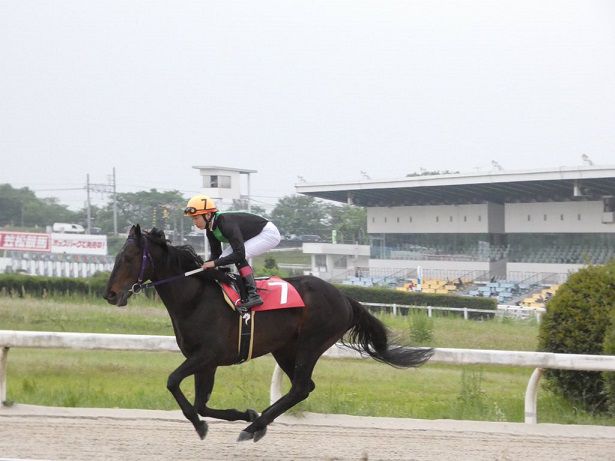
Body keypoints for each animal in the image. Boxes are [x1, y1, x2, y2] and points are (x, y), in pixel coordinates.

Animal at [103, 225, 434, 440]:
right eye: (117, 256)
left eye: (129, 258)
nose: (110, 294)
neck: (195, 298)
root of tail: (344, 297)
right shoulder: (205, 362)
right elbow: (201, 404)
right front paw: (242, 414)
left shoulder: (207, 355)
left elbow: (173, 382)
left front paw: (202, 426)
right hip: (285, 349)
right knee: (304, 387)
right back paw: (257, 423)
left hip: (311, 343)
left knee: (300, 387)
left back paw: (254, 428)